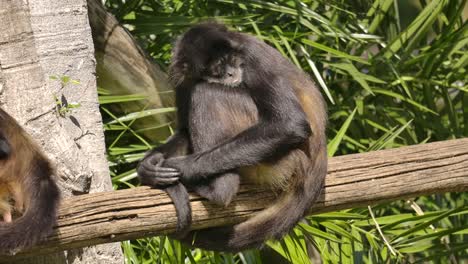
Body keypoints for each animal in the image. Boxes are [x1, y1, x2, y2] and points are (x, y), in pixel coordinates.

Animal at [137, 21, 328, 251]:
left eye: (231, 60)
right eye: (218, 67)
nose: (230, 73)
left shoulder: (252, 56)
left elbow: (290, 124)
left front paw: (179, 166)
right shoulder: (182, 75)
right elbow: (183, 129)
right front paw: (149, 165)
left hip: (281, 161)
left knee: (206, 91)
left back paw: (219, 190)